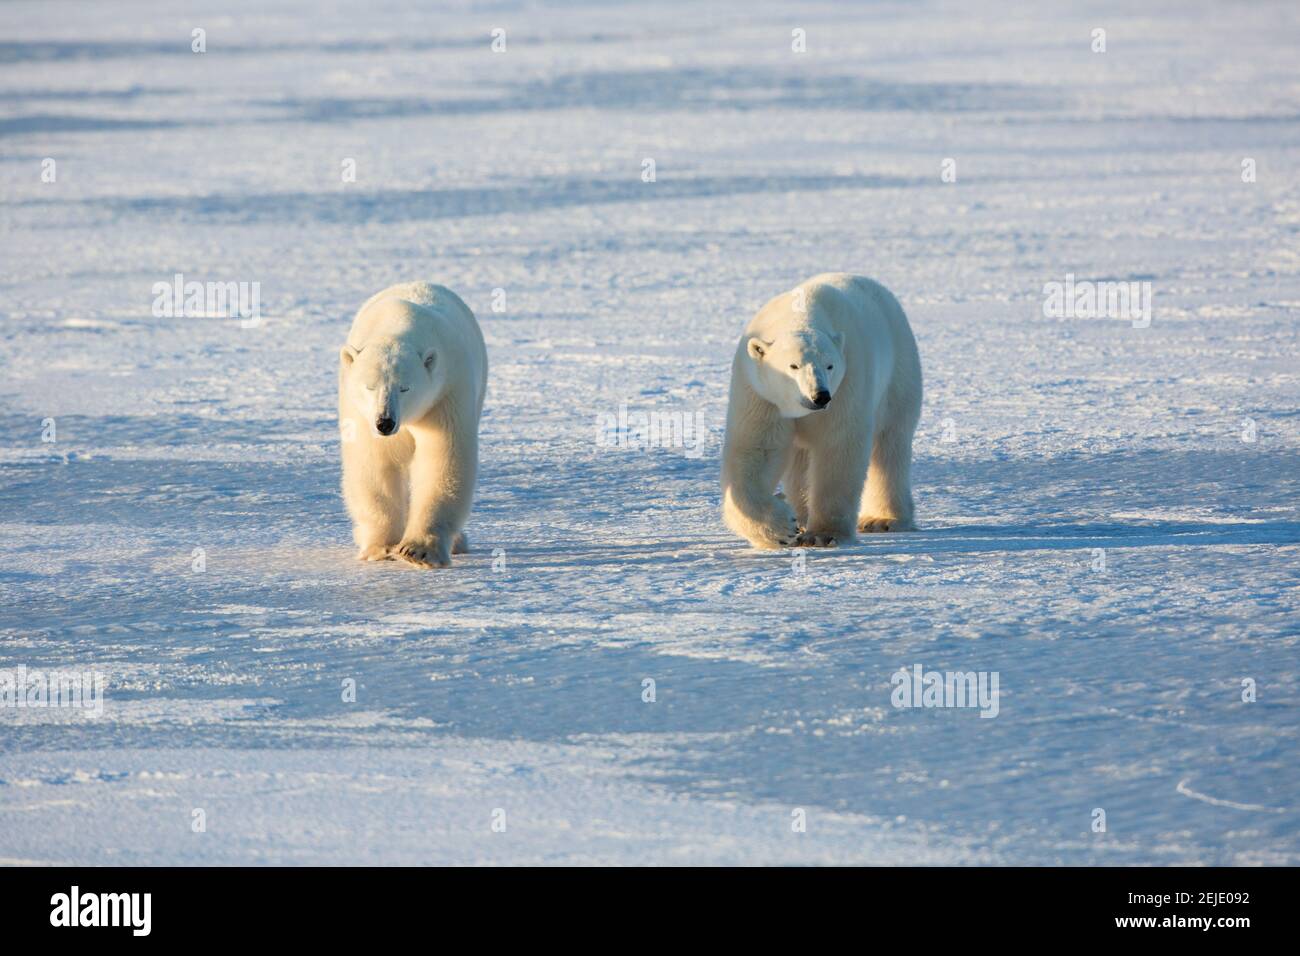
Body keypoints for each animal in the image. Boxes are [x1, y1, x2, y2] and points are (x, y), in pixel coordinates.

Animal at [340, 282, 488, 567]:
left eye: (405, 387)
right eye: (370, 386)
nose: (385, 423)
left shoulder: (445, 393)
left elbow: (442, 459)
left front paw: (417, 551)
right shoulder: (360, 413)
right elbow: (374, 461)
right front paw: (381, 547)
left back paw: (458, 542)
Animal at [722, 273, 925, 548]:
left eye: (829, 365)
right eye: (793, 366)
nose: (820, 396)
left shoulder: (848, 381)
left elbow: (838, 446)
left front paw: (824, 534)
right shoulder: (760, 392)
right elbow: (756, 449)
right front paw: (782, 528)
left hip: (898, 375)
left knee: (889, 446)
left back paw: (883, 520)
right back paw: (801, 516)